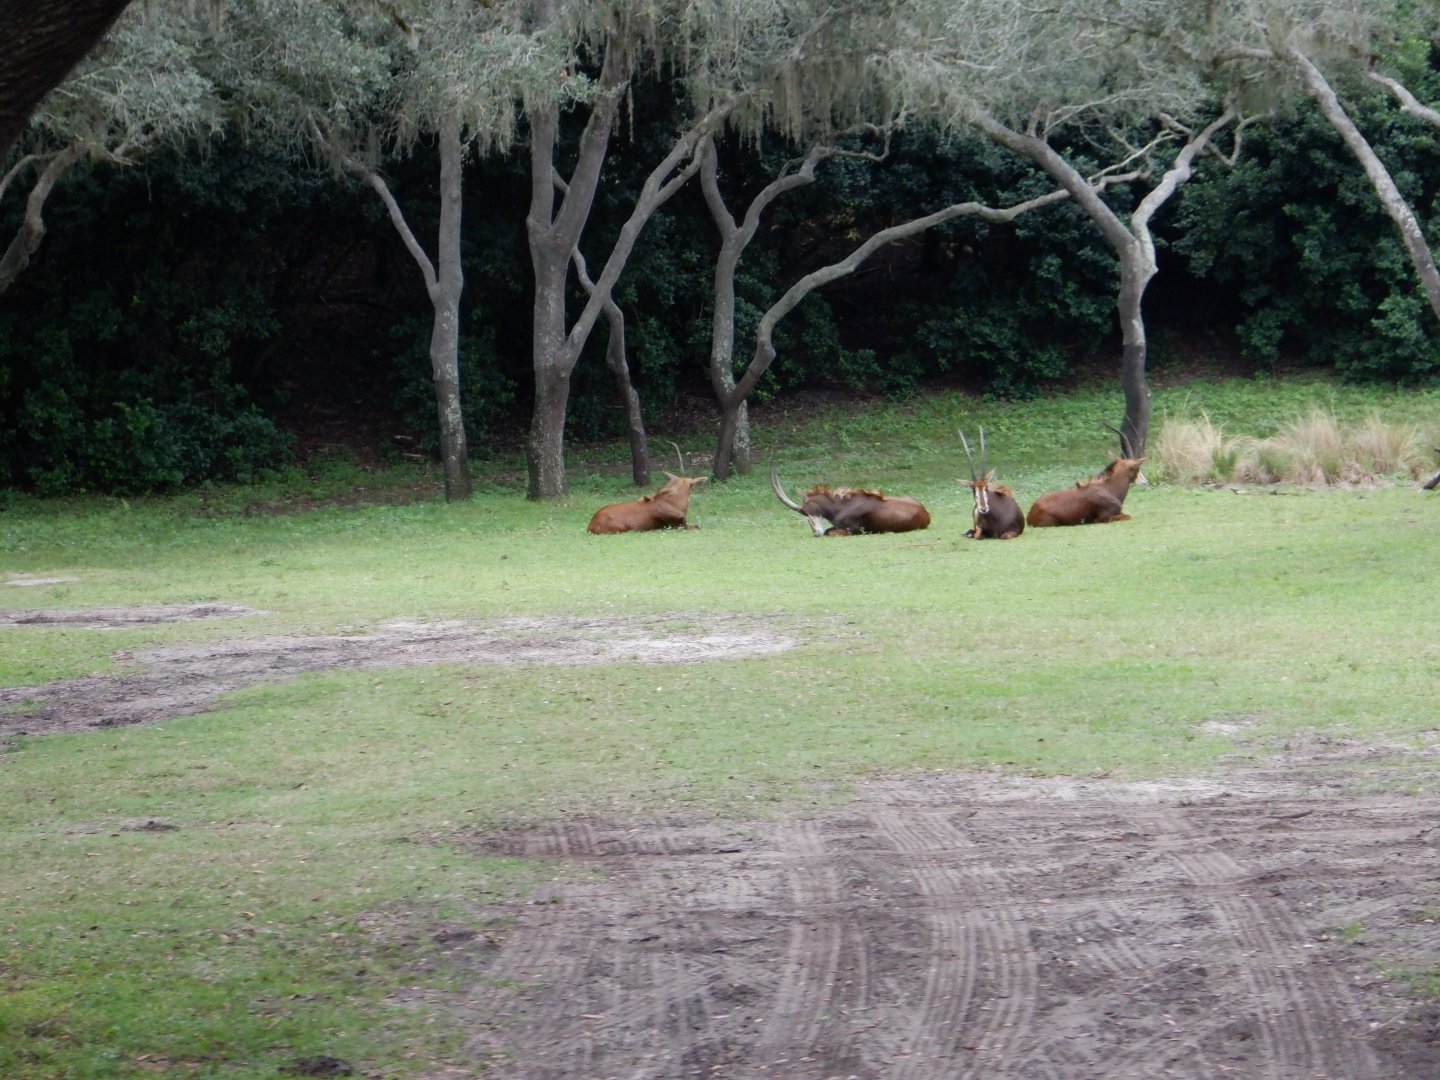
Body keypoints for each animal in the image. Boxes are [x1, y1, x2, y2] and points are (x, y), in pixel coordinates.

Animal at [770, 454, 930, 536]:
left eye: (806, 511)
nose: (816, 533)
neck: (842, 506)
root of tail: (925, 513)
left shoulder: (853, 530)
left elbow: (829, 532)